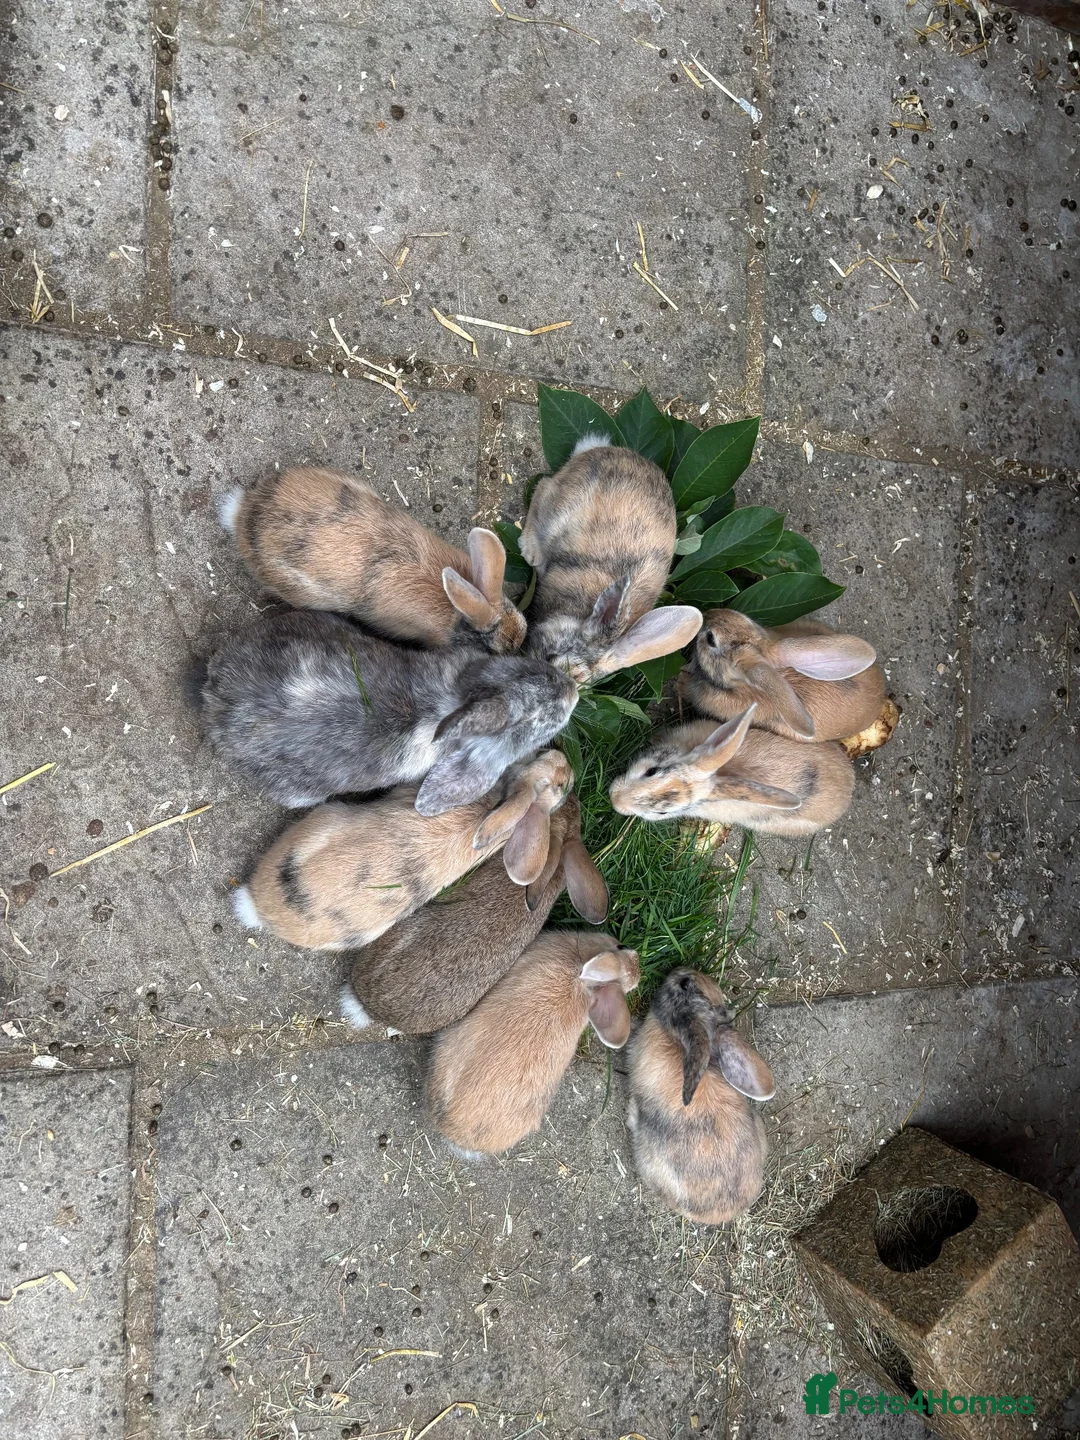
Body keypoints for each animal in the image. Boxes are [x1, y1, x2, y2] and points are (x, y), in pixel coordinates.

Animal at [518, 438, 702, 682]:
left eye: (582, 683)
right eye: (551, 656)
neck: (578, 614)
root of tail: (600, 449)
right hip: (557, 509)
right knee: (542, 487)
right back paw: (531, 551)